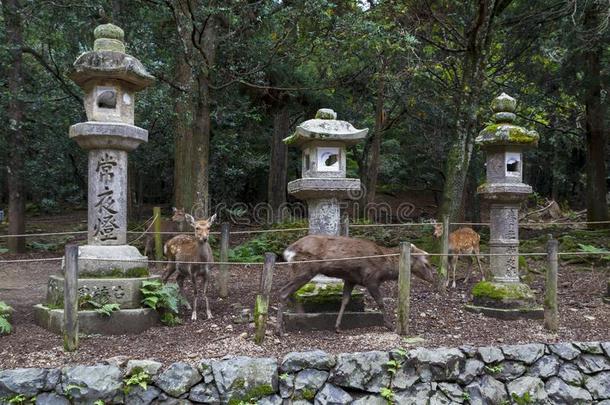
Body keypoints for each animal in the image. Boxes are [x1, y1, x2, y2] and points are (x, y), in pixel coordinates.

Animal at [276, 234, 436, 334]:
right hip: (305, 269)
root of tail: (287, 252)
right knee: (283, 292)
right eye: (426, 263)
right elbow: (381, 302)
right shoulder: (371, 279)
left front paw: (337, 327)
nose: (432, 278)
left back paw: (301, 317)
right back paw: (280, 330)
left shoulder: (350, 279)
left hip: (297, 271)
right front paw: (389, 325)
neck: (385, 268)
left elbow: (345, 301)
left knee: (289, 292)